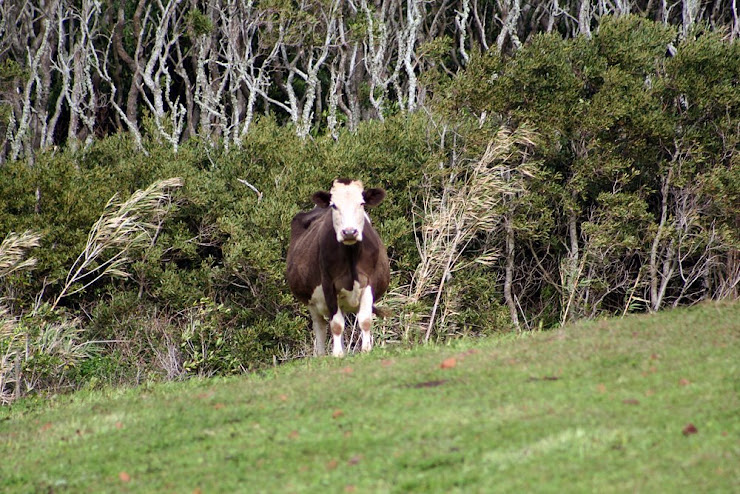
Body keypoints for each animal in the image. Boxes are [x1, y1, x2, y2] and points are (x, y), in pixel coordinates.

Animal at [286, 179, 390, 356]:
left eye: (362, 203)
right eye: (334, 205)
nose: (349, 232)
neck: (351, 255)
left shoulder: (370, 282)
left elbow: (365, 320)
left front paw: (366, 349)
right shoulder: (329, 285)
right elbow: (335, 325)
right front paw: (337, 354)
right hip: (311, 301)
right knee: (320, 326)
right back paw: (322, 355)